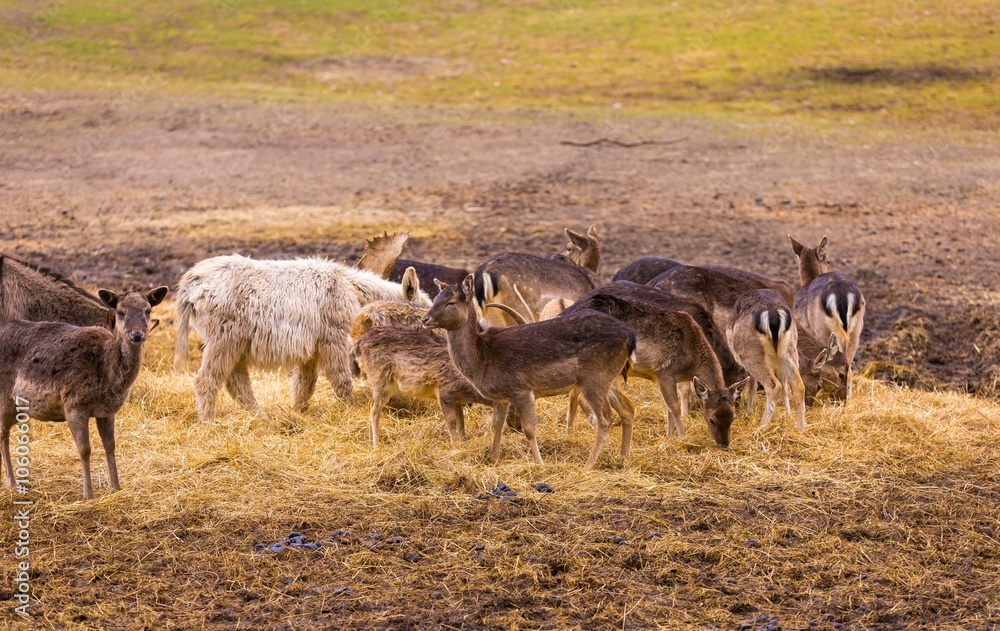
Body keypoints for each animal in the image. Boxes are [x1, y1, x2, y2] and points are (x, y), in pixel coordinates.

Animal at [1, 286, 168, 499]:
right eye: (121, 312)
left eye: (148, 310)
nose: (137, 334)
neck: (108, 377)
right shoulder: (73, 405)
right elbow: (84, 449)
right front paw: (88, 494)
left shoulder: (107, 411)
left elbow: (110, 446)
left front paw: (116, 487)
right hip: (5, 398)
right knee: (3, 434)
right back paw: (13, 484)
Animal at [422, 275, 636, 470]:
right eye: (436, 298)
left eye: (451, 302)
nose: (425, 319)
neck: (483, 360)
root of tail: (630, 336)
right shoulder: (501, 398)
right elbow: (496, 424)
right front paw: (493, 458)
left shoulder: (522, 390)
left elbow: (529, 429)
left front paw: (540, 464)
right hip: (610, 378)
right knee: (627, 408)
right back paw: (623, 458)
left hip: (594, 378)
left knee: (605, 418)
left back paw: (588, 466)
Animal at [727, 289, 807, 429]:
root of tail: (773, 313)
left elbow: (752, 384)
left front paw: (748, 411)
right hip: (790, 349)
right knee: (799, 386)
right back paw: (801, 430)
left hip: (751, 353)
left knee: (773, 385)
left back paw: (762, 426)